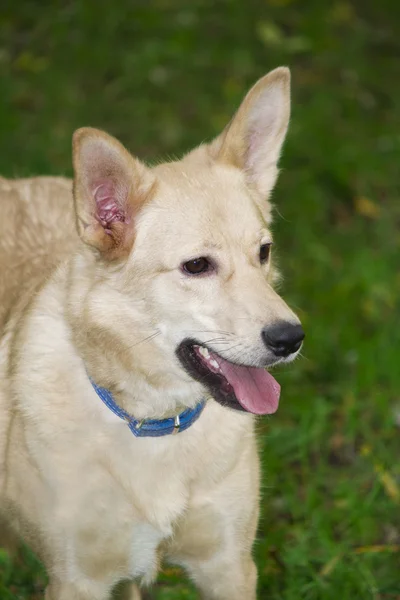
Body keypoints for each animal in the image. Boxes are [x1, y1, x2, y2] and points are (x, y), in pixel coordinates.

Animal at [0, 67, 304, 600]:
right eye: (197, 266)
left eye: (263, 252)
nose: (291, 338)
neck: (155, 422)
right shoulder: (75, 580)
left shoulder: (229, 567)